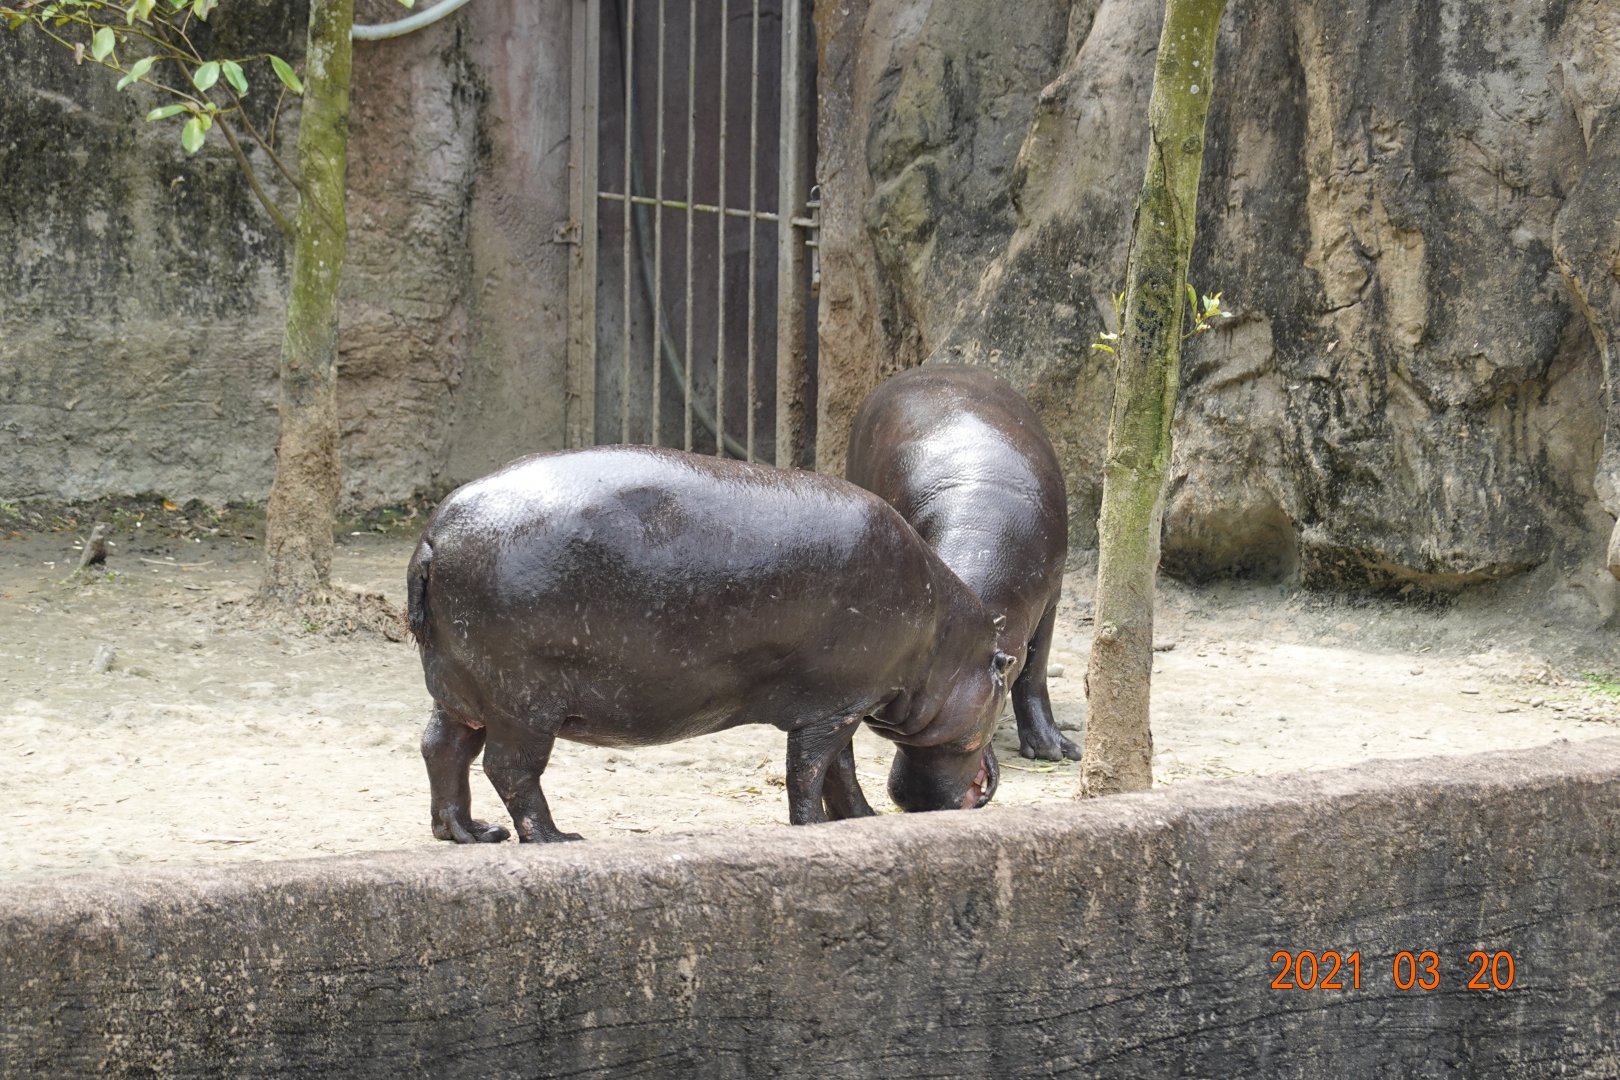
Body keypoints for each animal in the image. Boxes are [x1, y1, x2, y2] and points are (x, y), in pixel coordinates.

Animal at [406, 445, 1013, 843]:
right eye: (1003, 671)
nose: (988, 780)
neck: (945, 640)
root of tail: (435, 535)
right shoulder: (835, 708)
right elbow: (811, 771)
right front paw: (814, 829)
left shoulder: (839, 704)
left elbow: (838, 772)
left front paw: (861, 820)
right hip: (523, 703)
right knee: (510, 770)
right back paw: (557, 839)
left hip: (463, 692)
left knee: (442, 749)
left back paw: (469, 833)